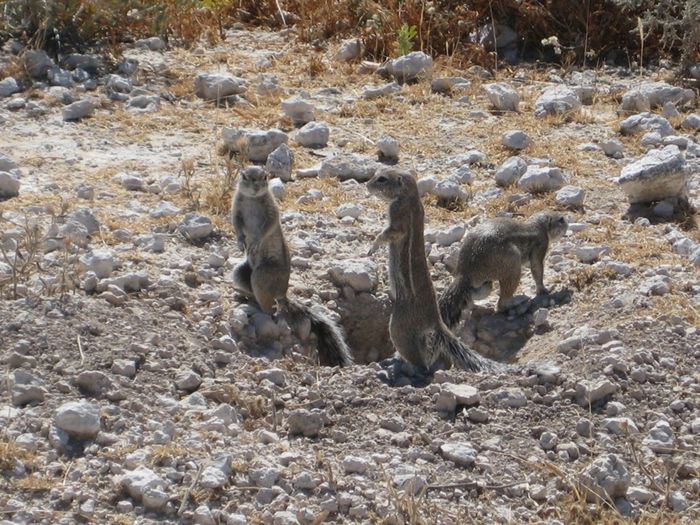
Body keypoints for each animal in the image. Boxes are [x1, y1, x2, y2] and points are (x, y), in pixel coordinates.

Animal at [234, 166, 356, 366]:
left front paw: (256, 242)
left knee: (270, 308)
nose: (256, 188)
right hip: (240, 271)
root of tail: (282, 293)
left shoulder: (271, 210)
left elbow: (267, 226)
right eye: (244, 177)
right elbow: (236, 225)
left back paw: (259, 308)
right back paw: (244, 298)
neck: (252, 199)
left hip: (262, 274)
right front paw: (239, 243)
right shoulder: (236, 208)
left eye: (264, 177)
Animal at [366, 168, 492, 372]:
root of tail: (437, 321)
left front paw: (373, 246)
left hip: (397, 326)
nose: (367, 185)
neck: (410, 196)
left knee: (418, 361)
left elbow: (388, 233)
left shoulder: (398, 216)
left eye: (382, 179)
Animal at [438, 210, 568, 328]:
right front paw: (545, 289)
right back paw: (516, 304)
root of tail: (464, 272)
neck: (538, 226)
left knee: (475, 293)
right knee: (501, 304)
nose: (567, 223)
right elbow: (537, 269)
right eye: (561, 219)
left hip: (485, 283)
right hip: (513, 264)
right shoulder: (541, 245)